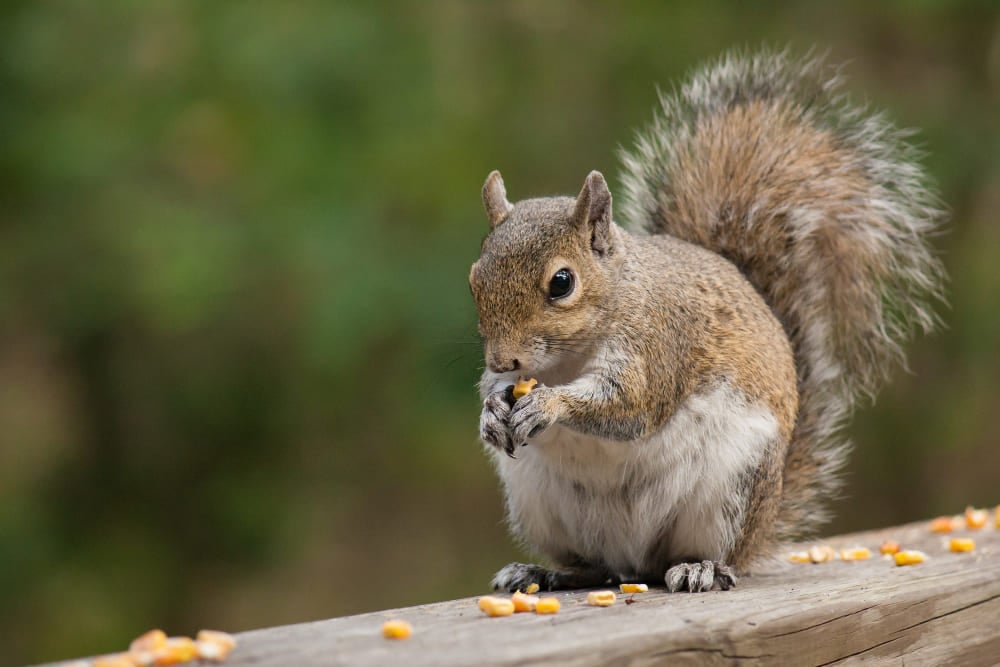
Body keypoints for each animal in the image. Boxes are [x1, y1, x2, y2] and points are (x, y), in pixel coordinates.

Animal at [468, 52, 944, 596]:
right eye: (474, 277)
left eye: (562, 283)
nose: (502, 358)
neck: (569, 358)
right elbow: (501, 393)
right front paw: (490, 411)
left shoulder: (658, 345)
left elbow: (629, 406)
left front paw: (549, 404)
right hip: (539, 502)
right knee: (595, 566)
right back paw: (544, 572)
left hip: (732, 491)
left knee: (707, 554)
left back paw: (701, 568)